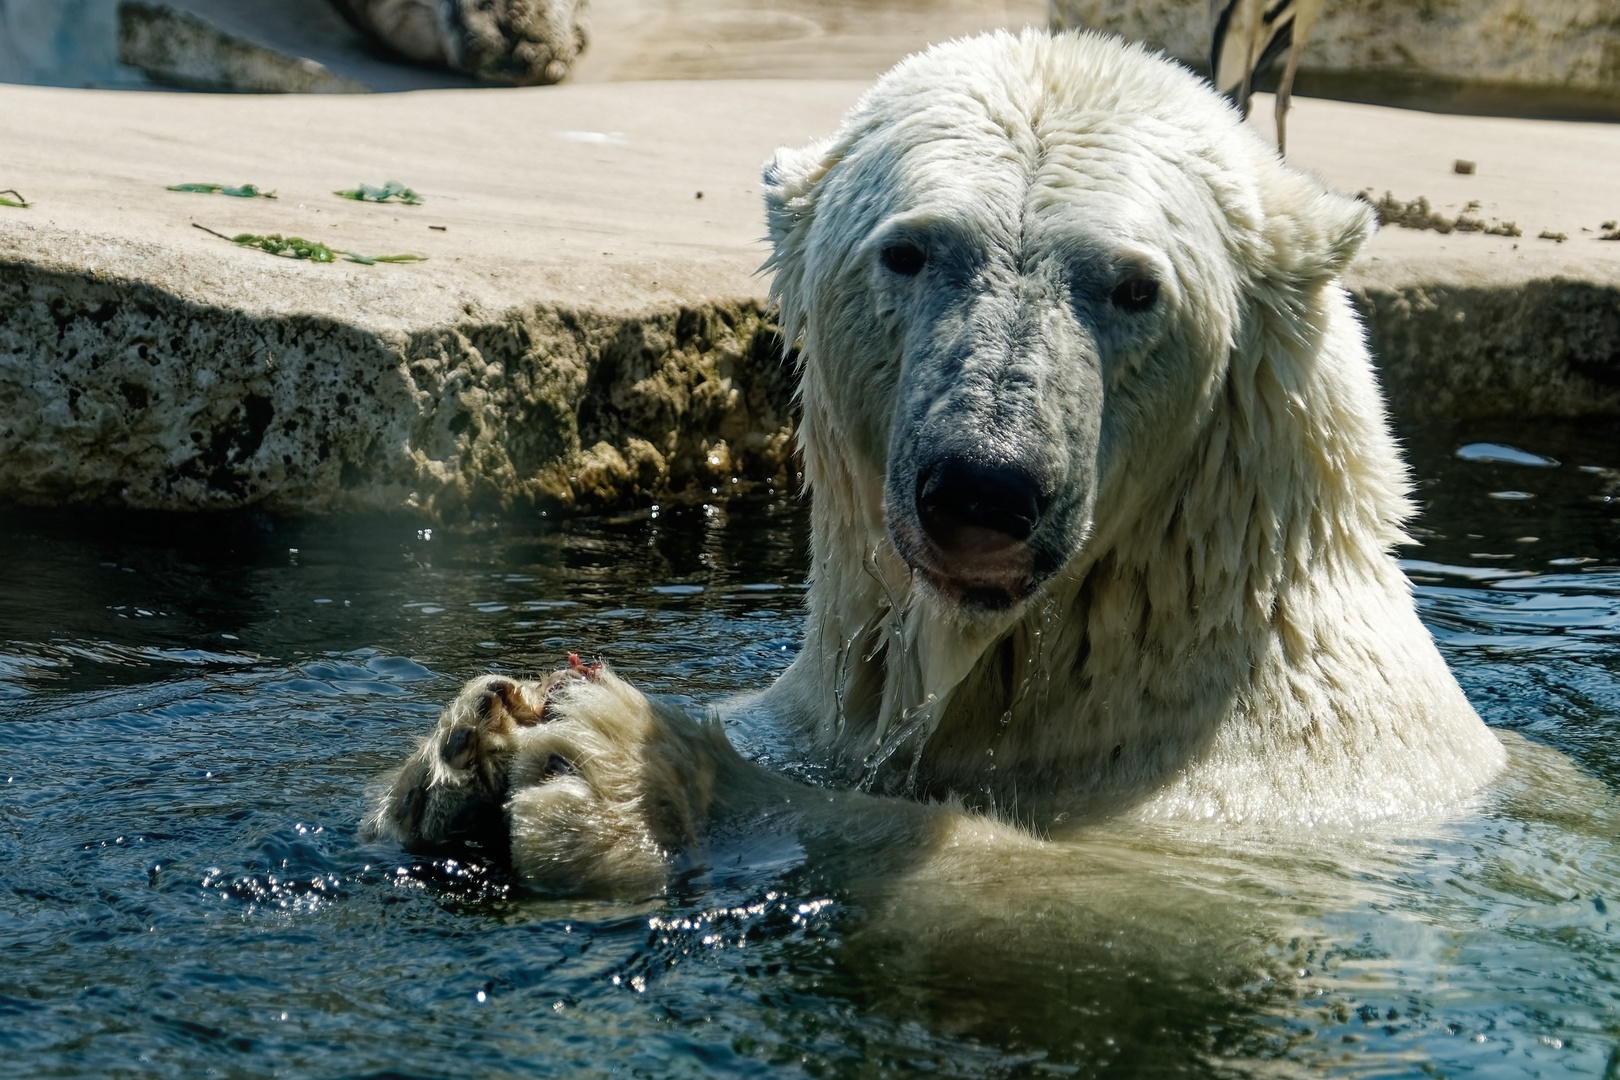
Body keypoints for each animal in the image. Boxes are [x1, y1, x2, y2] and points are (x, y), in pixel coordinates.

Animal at [364, 31, 1503, 893]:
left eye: (1136, 287)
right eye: (909, 252)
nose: (984, 486)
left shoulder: (1288, 786)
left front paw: (627, 773)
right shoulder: (807, 716)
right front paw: (460, 746)